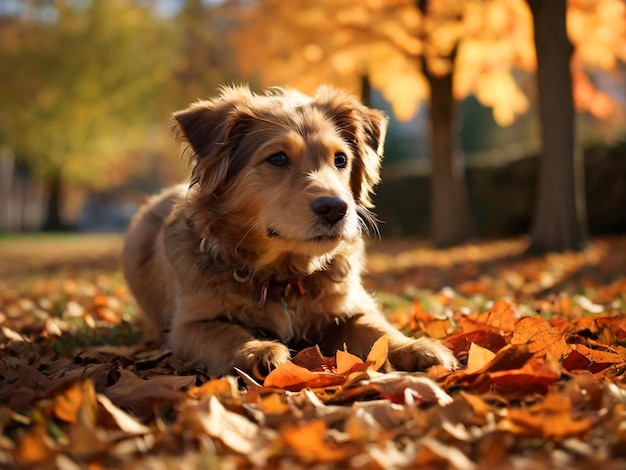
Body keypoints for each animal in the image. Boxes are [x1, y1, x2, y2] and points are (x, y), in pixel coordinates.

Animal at [122, 84, 456, 378]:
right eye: (278, 158)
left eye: (341, 159)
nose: (336, 208)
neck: (284, 277)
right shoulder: (189, 324)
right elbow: (225, 332)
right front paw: (257, 349)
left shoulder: (350, 307)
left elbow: (378, 330)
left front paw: (416, 348)